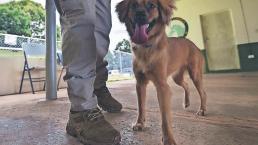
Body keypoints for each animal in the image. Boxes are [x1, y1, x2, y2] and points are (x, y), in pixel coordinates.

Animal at [117, 0, 208, 144]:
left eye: (151, 5)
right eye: (133, 5)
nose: (140, 14)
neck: (146, 48)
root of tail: (192, 43)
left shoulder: (162, 86)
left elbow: (165, 117)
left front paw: (168, 139)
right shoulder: (140, 84)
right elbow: (141, 107)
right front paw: (140, 123)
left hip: (195, 74)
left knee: (203, 93)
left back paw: (202, 109)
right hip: (177, 77)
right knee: (186, 85)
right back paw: (187, 102)